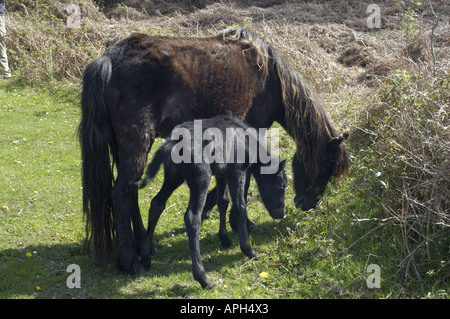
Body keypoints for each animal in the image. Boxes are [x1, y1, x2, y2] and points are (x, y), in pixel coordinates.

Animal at [137, 115, 286, 290]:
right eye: (282, 186)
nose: (281, 213)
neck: (244, 138)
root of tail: (172, 141)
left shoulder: (221, 173)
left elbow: (223, 202)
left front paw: (224, 238)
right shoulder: (236, 171)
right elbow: (240, 207)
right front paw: (248, 250)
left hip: (174, 175)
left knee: (157, 203)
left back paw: (145, 257)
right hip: (201, 178)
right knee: (192, 218)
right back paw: (202, 278)